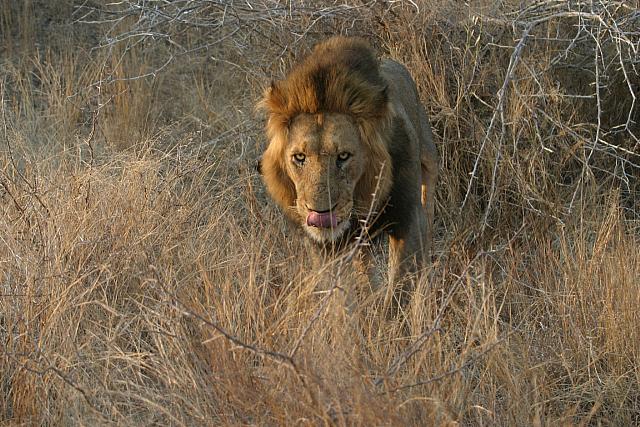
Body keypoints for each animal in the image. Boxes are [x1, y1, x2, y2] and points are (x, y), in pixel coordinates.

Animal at [258, 37, 438, 307]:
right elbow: (339, 298)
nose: (320, 214)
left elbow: (400, 289)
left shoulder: (407, 218)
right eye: (299, 157)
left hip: (429, 160)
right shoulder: (325, 248)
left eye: (343, 156)